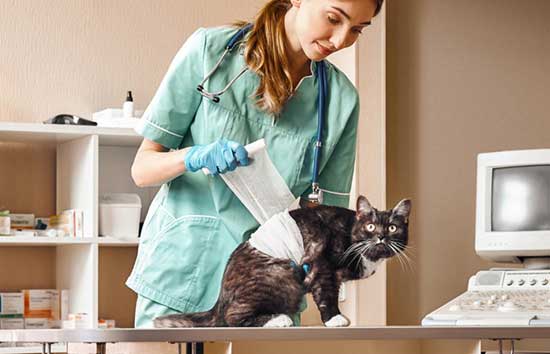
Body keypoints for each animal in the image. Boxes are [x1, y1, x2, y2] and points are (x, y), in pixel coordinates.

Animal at [153, 195, 412, 328]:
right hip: (282, 273)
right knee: (232, 317)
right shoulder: (322, 265)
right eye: (371, 226)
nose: (381, 237)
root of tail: (219, 299)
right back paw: (278, 320)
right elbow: (327, 295)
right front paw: (335, 319)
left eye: (392, 227)